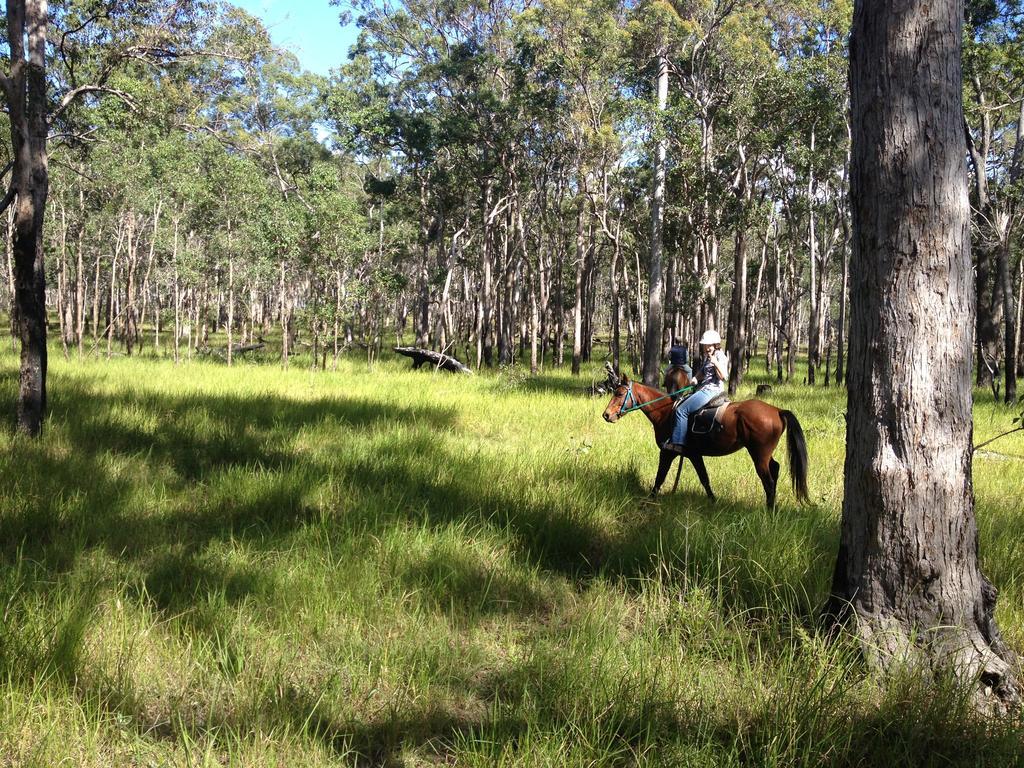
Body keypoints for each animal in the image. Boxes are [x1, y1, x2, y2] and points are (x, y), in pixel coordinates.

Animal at [598, 368, 806, 512]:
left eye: (619, 393)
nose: (606, 415)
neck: (666, 413)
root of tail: (777, 410)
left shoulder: (667, 452)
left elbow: (659, 478)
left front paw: (647, 502)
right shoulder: (693, 455)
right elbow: (704, 479)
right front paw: (714, 502)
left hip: (759, 454)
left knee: (768, 481)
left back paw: (769, 512)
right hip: (764, 453)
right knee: (775, 469)